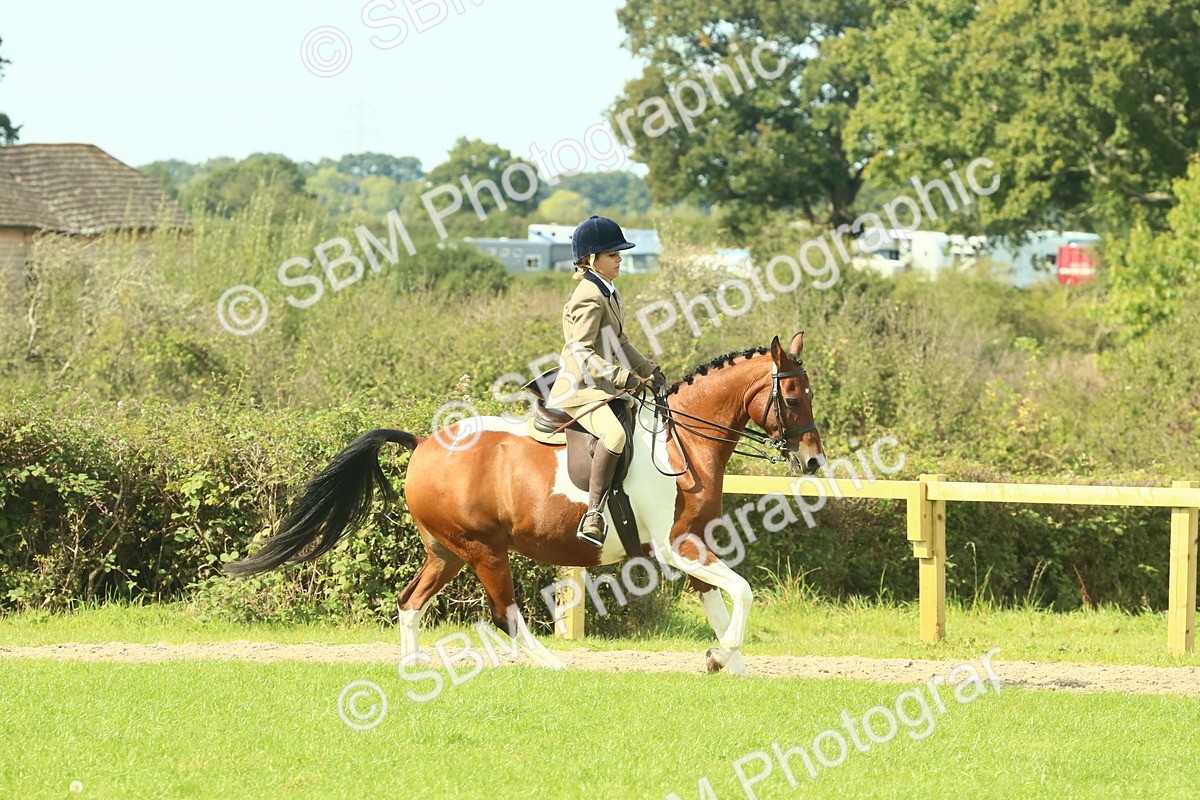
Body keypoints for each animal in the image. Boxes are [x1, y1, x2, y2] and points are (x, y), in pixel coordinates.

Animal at [226, 333, 824, 675]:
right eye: (794, 397)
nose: (815, 461)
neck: (681, 444)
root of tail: (423, 444)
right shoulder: (676, 545)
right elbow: (741, 592)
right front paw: (723, 658)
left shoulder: (693, 544)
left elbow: (720, 603)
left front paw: (729, 664)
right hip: (483, 550)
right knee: (505, 613)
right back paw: (550, 665)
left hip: (446, 552)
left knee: (410, 601)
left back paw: (412, 668)